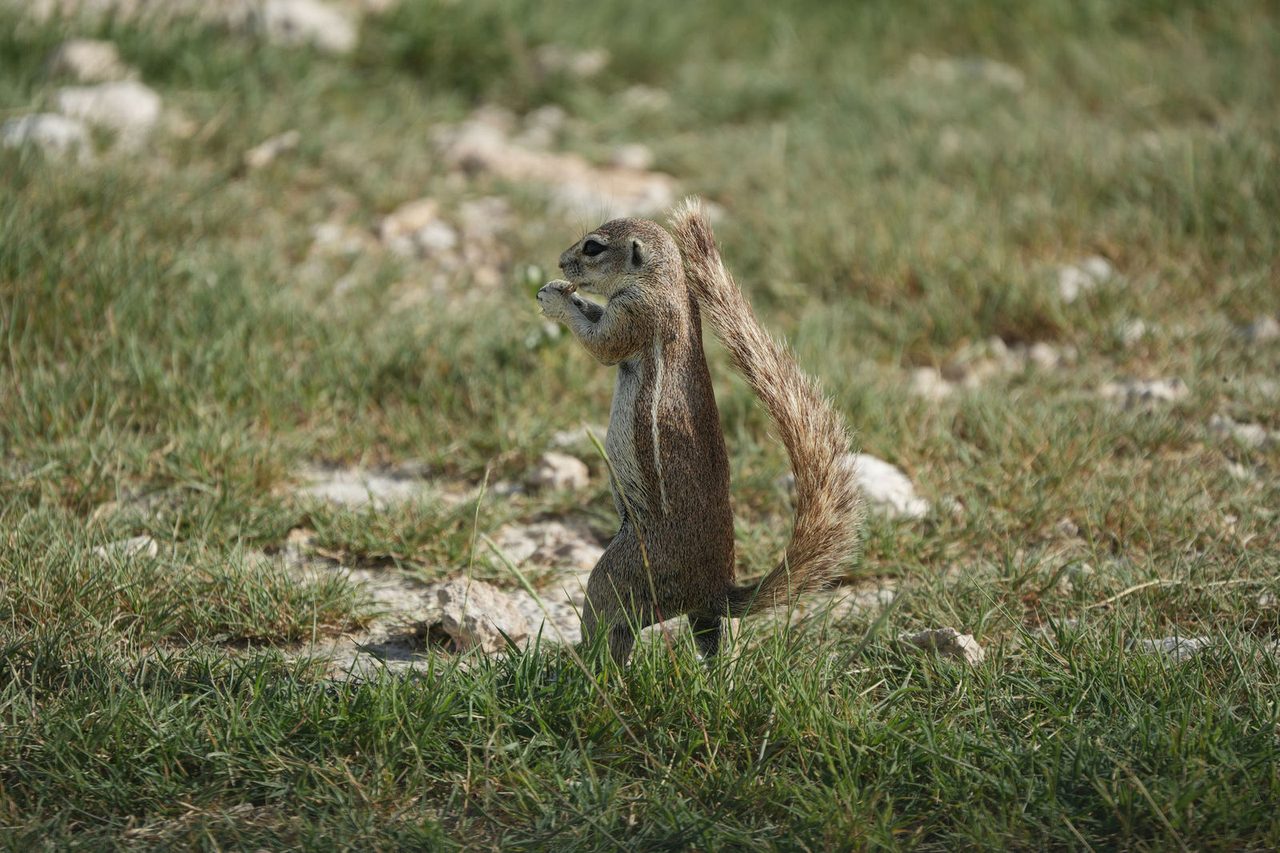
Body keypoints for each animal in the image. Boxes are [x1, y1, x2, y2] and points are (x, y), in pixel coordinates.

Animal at [536, 198, 863, 664]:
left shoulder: (636, 312)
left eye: (593, 247)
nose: (561, 262)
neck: (661, 278)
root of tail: (716, 589)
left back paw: (584, 665)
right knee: (710, 640)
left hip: (623, 572)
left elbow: (601, 343)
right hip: (699, 617)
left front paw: (555, 298)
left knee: (610, 623)